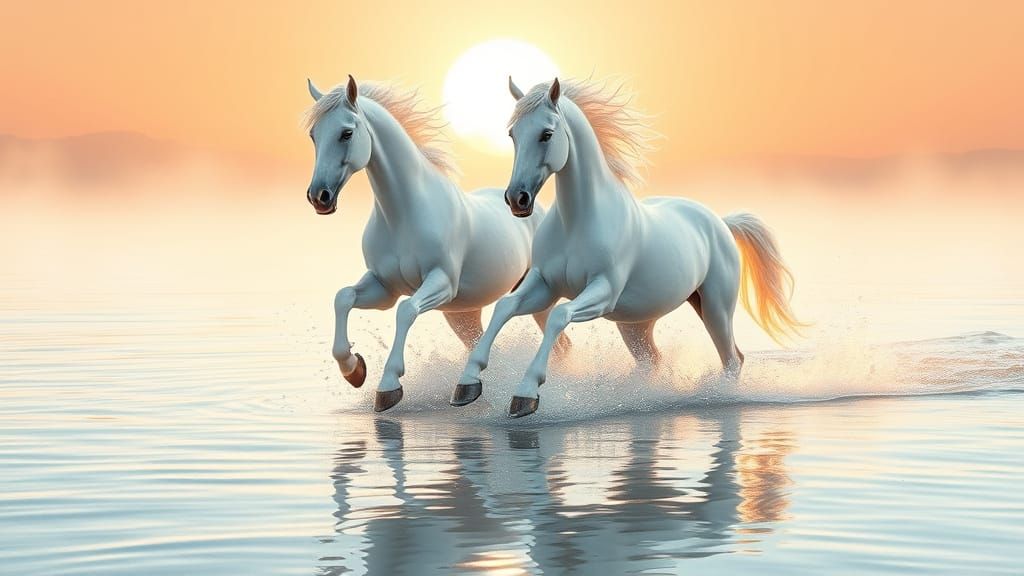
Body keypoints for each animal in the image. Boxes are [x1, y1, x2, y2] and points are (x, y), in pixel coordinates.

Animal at [304, 75, 568, 413]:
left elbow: (405, 311)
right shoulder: (382, 287)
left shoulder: (441, 282)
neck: (404, 215)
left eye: (346, 132)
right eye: (314, 134)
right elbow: (343, 297)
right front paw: (354, 369)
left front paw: (388, 388)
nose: (319, 197)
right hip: (463, 315)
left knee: (561, 346)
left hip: (535, 297)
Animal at [451, 77, 805, 418]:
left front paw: (525, 396)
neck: (578, 221)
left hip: (716, 307)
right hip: (636, 325)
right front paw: (466, 386)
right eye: (513, 134)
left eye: (546, 134)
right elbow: (505, 306)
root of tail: (720, 222)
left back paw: (719, 396)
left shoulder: (602, 292)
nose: (517, 199)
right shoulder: (544, 285)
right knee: (655, 360)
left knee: (733, 358)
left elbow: (559, 317)